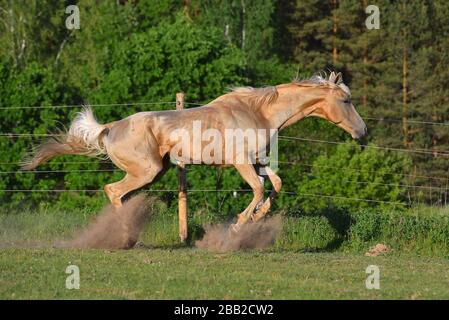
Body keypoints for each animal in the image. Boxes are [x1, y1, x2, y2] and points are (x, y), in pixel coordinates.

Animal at [22, 70, 366, 230]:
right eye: (346, 100)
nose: (363, 131)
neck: (258, 112)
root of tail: (109, 128)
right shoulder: (241, 163)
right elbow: (257, 189)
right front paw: (239, 225)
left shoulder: (258, 160)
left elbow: (276, 185)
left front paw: (258, 216)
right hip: (146, 172)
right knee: (112, 190)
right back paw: (125, 234)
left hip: (153, 173)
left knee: (120, 195)